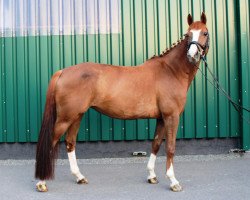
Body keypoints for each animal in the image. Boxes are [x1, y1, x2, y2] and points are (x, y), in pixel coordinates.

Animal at [35, 12, 210, 192]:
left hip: (77, 116)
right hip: (65, 118)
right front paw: (173, 181)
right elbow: (170, 147)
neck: (171, 71)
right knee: (51, 142)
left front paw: (152, 176)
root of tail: (62, 72)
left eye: (204, 33)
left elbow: (155, 144)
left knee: (70, 143)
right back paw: (42, 182)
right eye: (188, 35)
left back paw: (79, 177)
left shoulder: (161, 118)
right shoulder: (171, 116)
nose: (192, 55)